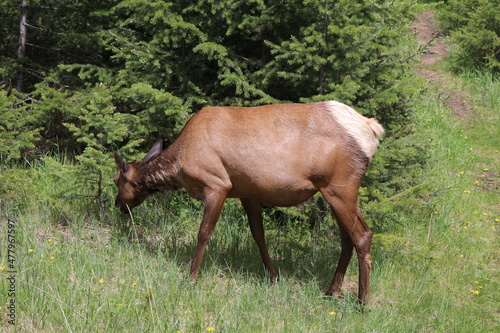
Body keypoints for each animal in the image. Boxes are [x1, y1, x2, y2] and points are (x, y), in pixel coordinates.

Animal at [113, 100, 384, 302]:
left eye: (117, 181)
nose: (118, 205)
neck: (180, 163)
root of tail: (371, 131)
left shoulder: (217, 184)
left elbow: (204, 232)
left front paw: (191, 278)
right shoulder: (247, 191)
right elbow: (258, 234)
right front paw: (273, 276)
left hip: (340, 186)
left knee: (362, 235)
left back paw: (362, 301)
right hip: (334, 191)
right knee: (347, 238)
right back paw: (331, 291)